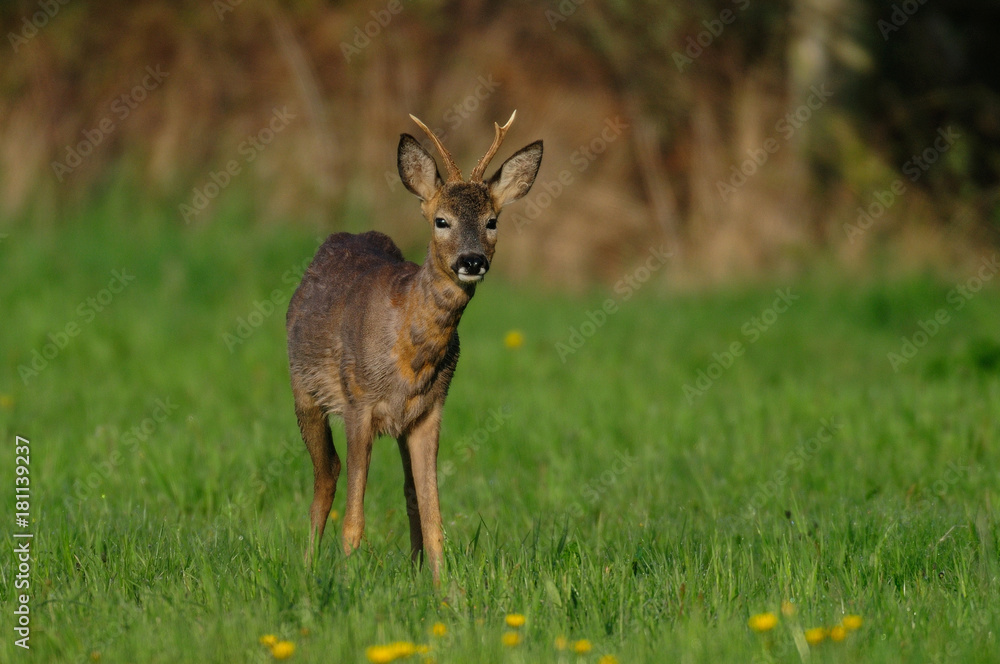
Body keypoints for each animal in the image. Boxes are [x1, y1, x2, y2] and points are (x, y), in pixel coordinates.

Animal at [286, 111, 544, 584]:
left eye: (492, 221)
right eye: (441, 220)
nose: (472, 261)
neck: (410, 353)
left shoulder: (430, 411)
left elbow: (432, 513)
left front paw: (445, 590)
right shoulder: (359, 404)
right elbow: (354, 517)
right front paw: (348, 583)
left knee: (404, 492)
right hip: (305, 392)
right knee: (326, 474)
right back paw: (309, 567)